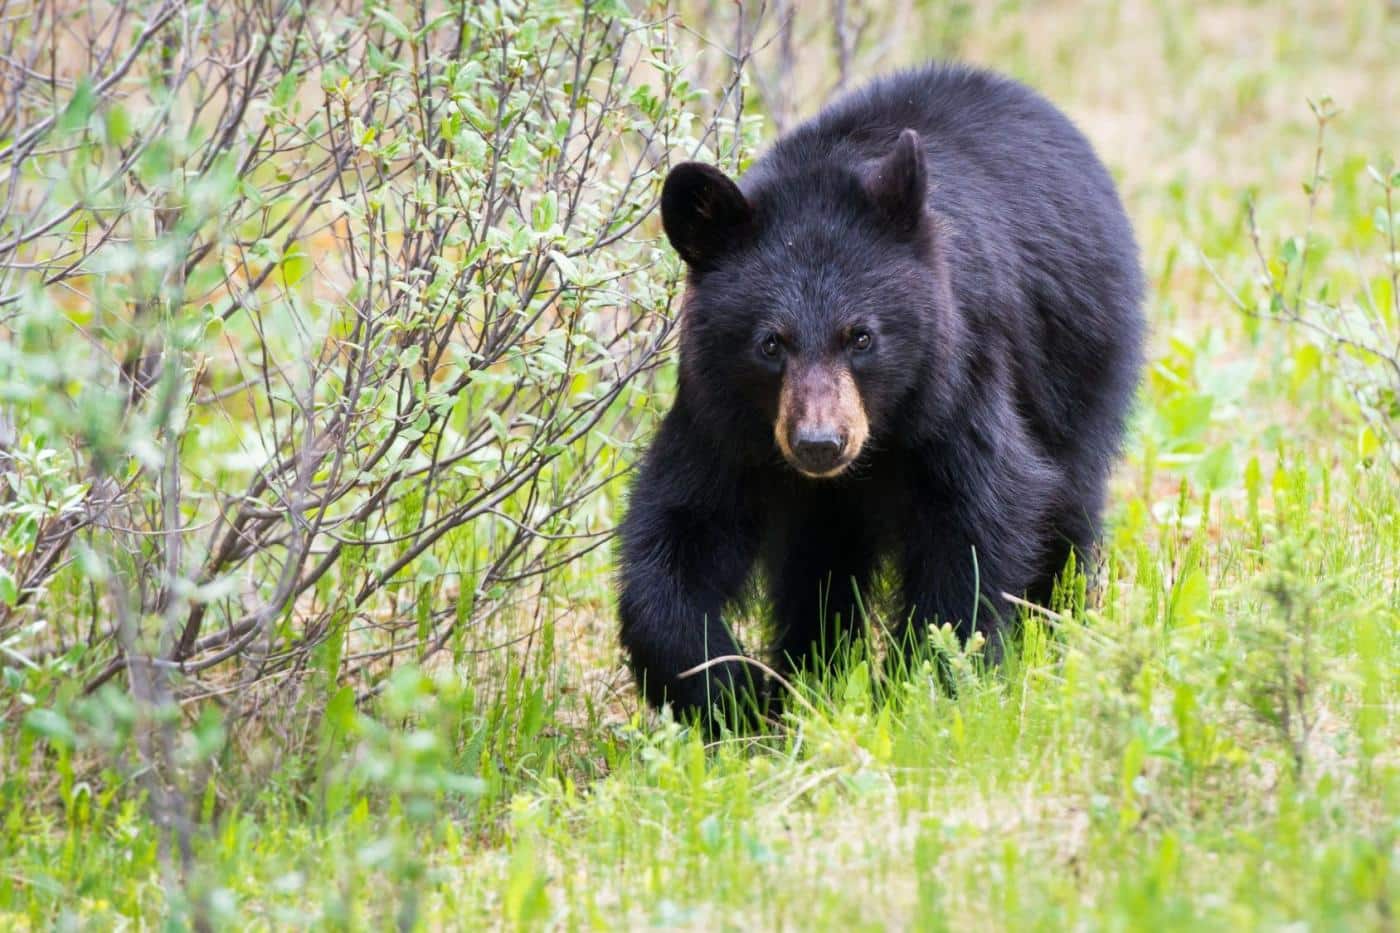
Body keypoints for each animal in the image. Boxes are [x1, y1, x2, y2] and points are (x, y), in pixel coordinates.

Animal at [618, 65, 1142, 722]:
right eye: (770, 344)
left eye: (861, 337)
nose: (819, 443)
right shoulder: (723, 418)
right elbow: (681, 530)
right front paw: (730, 693)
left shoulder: (956, 382)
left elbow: (976, 520)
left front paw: (927, 689)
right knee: (816, 570)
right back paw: (807, 674)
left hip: (1077, 365)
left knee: (1068, 506)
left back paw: (1055, 634)